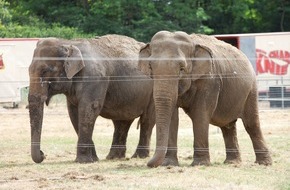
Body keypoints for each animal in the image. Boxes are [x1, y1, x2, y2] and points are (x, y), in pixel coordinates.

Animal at [28, 34, 155, 163]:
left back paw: (139, 156)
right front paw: (93, 159)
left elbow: (88, 108)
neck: (69, 43)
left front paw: (83, 161)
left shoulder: (94, 77)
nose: (43, 154)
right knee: (122, 122)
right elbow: (74, 113)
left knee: (147, 120)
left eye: (45, 71)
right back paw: (113, 157)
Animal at [139, 30, 274, 167]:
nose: (148, 164)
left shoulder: (209, 80)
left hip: (251, 90)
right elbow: (173, 116)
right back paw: (231, 162)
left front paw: (200, 164)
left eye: (182, 68)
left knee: (251, 124)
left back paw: (264, 163)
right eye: (150, 67)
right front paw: (169, 164)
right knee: (228, 126)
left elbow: (200, 113)